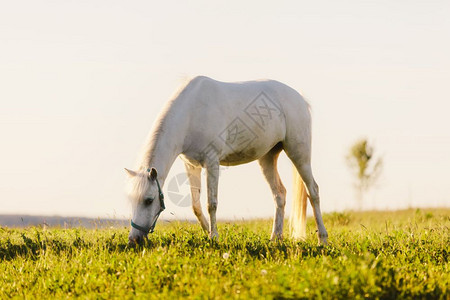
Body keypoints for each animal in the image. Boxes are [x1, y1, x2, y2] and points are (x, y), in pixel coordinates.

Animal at [125, 76, 328, 245]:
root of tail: (299, 99)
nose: (134, 240)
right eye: (130, 199)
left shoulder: (212, 162)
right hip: (268, 157)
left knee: (313, 192)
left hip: (299, 154)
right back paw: (275, 239)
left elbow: (211, 203)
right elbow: (196, 205)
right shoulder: (191, 165)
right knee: (279, 195)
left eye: (149, 200)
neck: (191, 113)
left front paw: (214, 237)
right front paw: (208, 232)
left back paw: (322, 239)